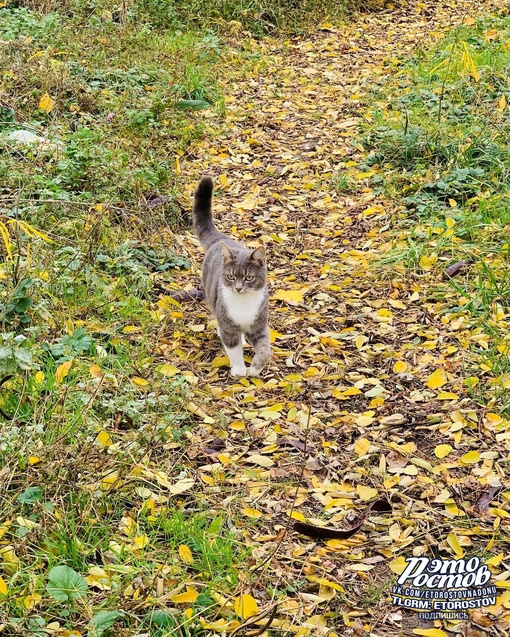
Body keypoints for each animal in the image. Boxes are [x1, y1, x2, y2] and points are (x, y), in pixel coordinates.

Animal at [192, 175, 270, 378]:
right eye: (231, 277)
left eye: (249, 278)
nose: (238, 287)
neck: (244, 304)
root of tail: (220, 240)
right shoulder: (228, 324)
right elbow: (233, 348)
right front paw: (240, 370)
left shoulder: (259, 324)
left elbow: (265, 347)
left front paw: (256, 368)